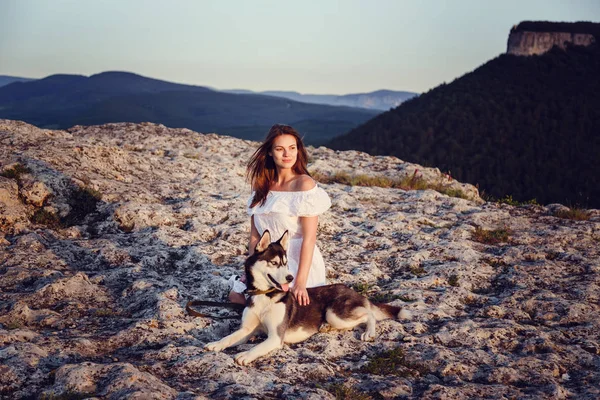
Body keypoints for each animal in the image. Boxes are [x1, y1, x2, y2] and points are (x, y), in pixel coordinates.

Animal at [205, 230, 408, 364]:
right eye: (274, 263)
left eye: (286, 263)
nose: (290, 278)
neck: (266, 295)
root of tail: (350, 289)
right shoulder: (247, 330)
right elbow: (228, 338)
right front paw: (215, 344)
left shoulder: (275, 337)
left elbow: (258, 347)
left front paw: (245, 355)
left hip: (334, 314)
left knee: (369, 314)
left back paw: (369, 332)